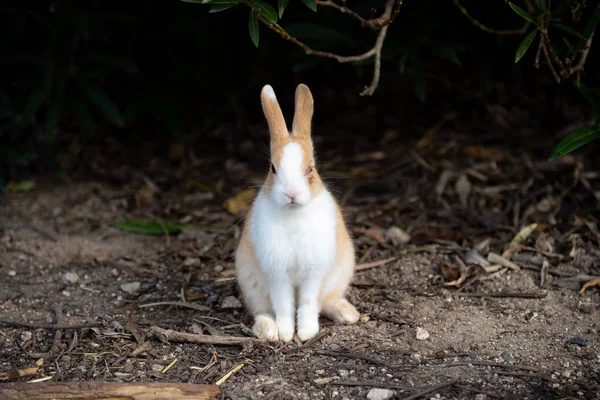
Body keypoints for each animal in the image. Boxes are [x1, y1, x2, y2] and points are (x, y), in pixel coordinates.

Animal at [234, 83, 358, 342]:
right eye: (273, 168)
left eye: (311, 168)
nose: (291, 193)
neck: (293, 213)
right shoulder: (277, 273)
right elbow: (283, 305)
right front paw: (285, 333)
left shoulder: (314, 272)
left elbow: (309, 303)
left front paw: (307, 332)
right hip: (251, 285)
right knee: (262, 311)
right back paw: (268, 331)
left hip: (338, 275)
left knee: (327, 301)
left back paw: (347, 314)